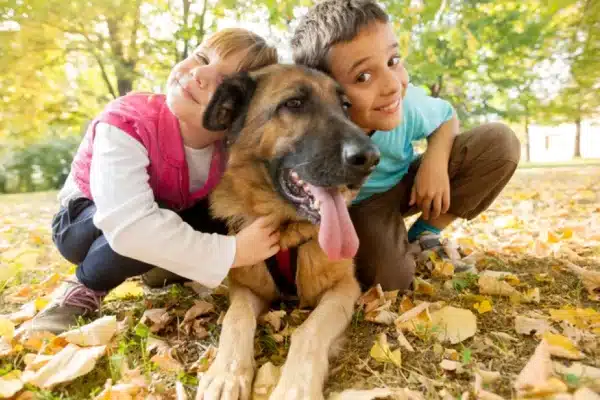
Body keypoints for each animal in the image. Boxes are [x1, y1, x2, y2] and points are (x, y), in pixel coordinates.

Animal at [196, 64, 380, 398]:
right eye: (294, 104)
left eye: (345, 106)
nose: (372, 159)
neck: (286, 229)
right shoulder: (244, 288)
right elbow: (236, 318)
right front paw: (227, 373)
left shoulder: (345, 287)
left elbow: (309, 331)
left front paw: (296, 386)